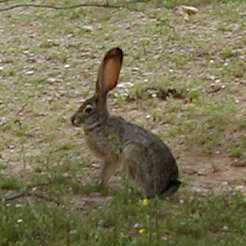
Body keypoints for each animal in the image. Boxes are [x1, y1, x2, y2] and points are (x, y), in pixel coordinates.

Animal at [71, 47, 181, 198]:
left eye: (88, 109)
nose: (72, 120)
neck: (99, 124)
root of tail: (166, 187)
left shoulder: (112, 156)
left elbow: (106, 172)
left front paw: (98, 187)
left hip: (132, 153)